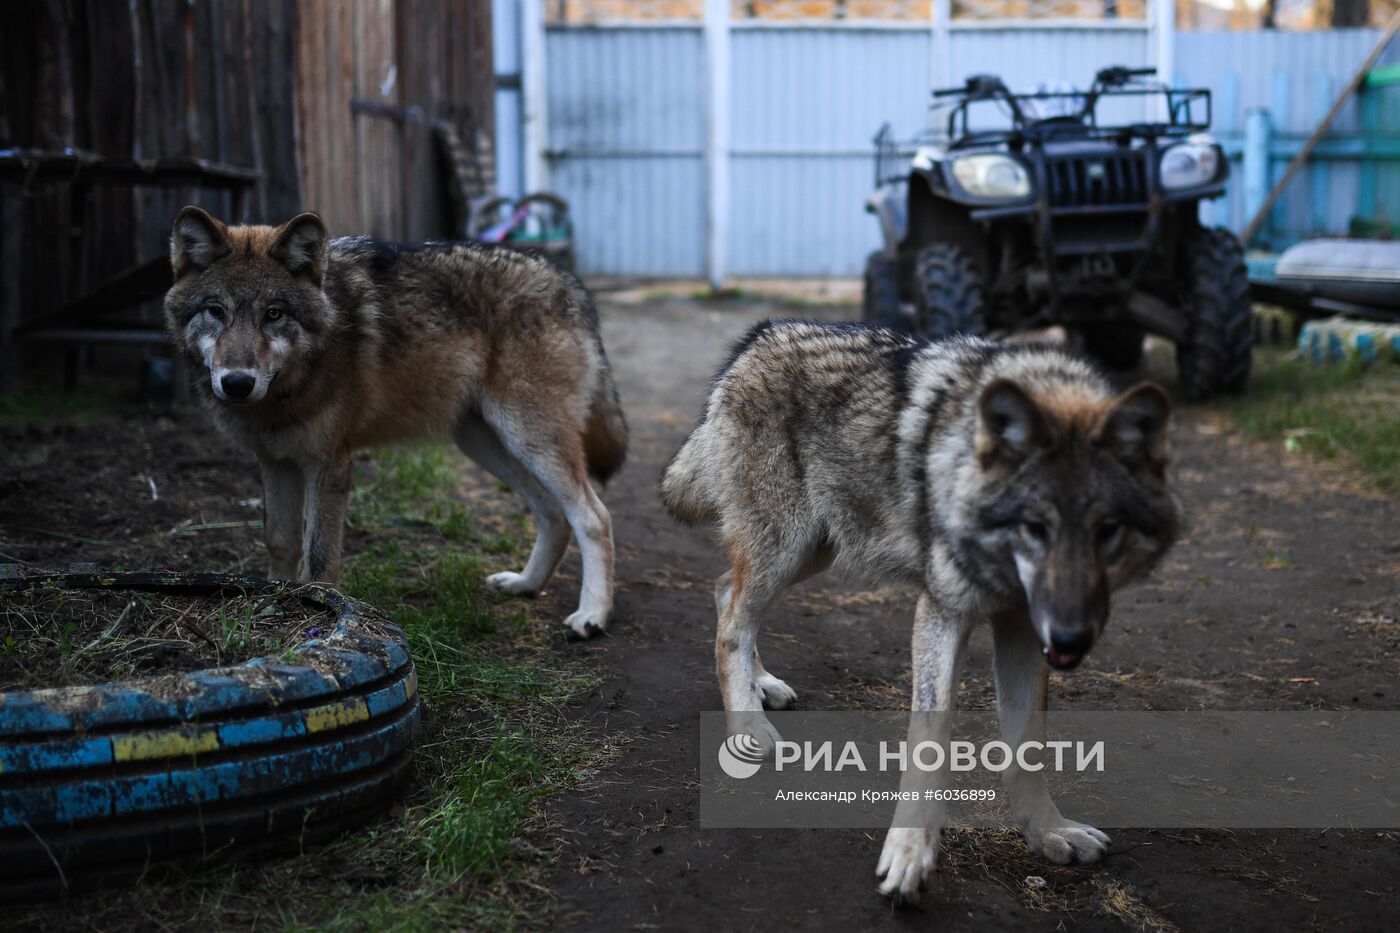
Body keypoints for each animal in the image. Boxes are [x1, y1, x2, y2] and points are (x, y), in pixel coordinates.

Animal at [161, 207, 627, 636]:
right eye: (215, 311)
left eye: (273, 314)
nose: (237, 383)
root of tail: (566, 278)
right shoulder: (275, 462)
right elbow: (279, 541)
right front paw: (277, 604)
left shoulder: (329, 464)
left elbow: (319, 559)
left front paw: (318, 614)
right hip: (487, 444)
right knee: (552, 514)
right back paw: (525, 584)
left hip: (530, 439)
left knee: (595, 516)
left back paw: (593, 615)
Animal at [660, 322, 1176, 902]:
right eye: (1034, 527)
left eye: (1106, 531)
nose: (1071, 640)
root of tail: (757, 338)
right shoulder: (942, 611)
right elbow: (931, 740)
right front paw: (909, 855)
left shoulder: (1023, 626)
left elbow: (1028, 745)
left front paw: (1049, 833)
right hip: (786, 548)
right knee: (732, 622)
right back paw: (748, 724)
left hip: (813, 551)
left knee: (725, 591)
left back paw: (761, 684)